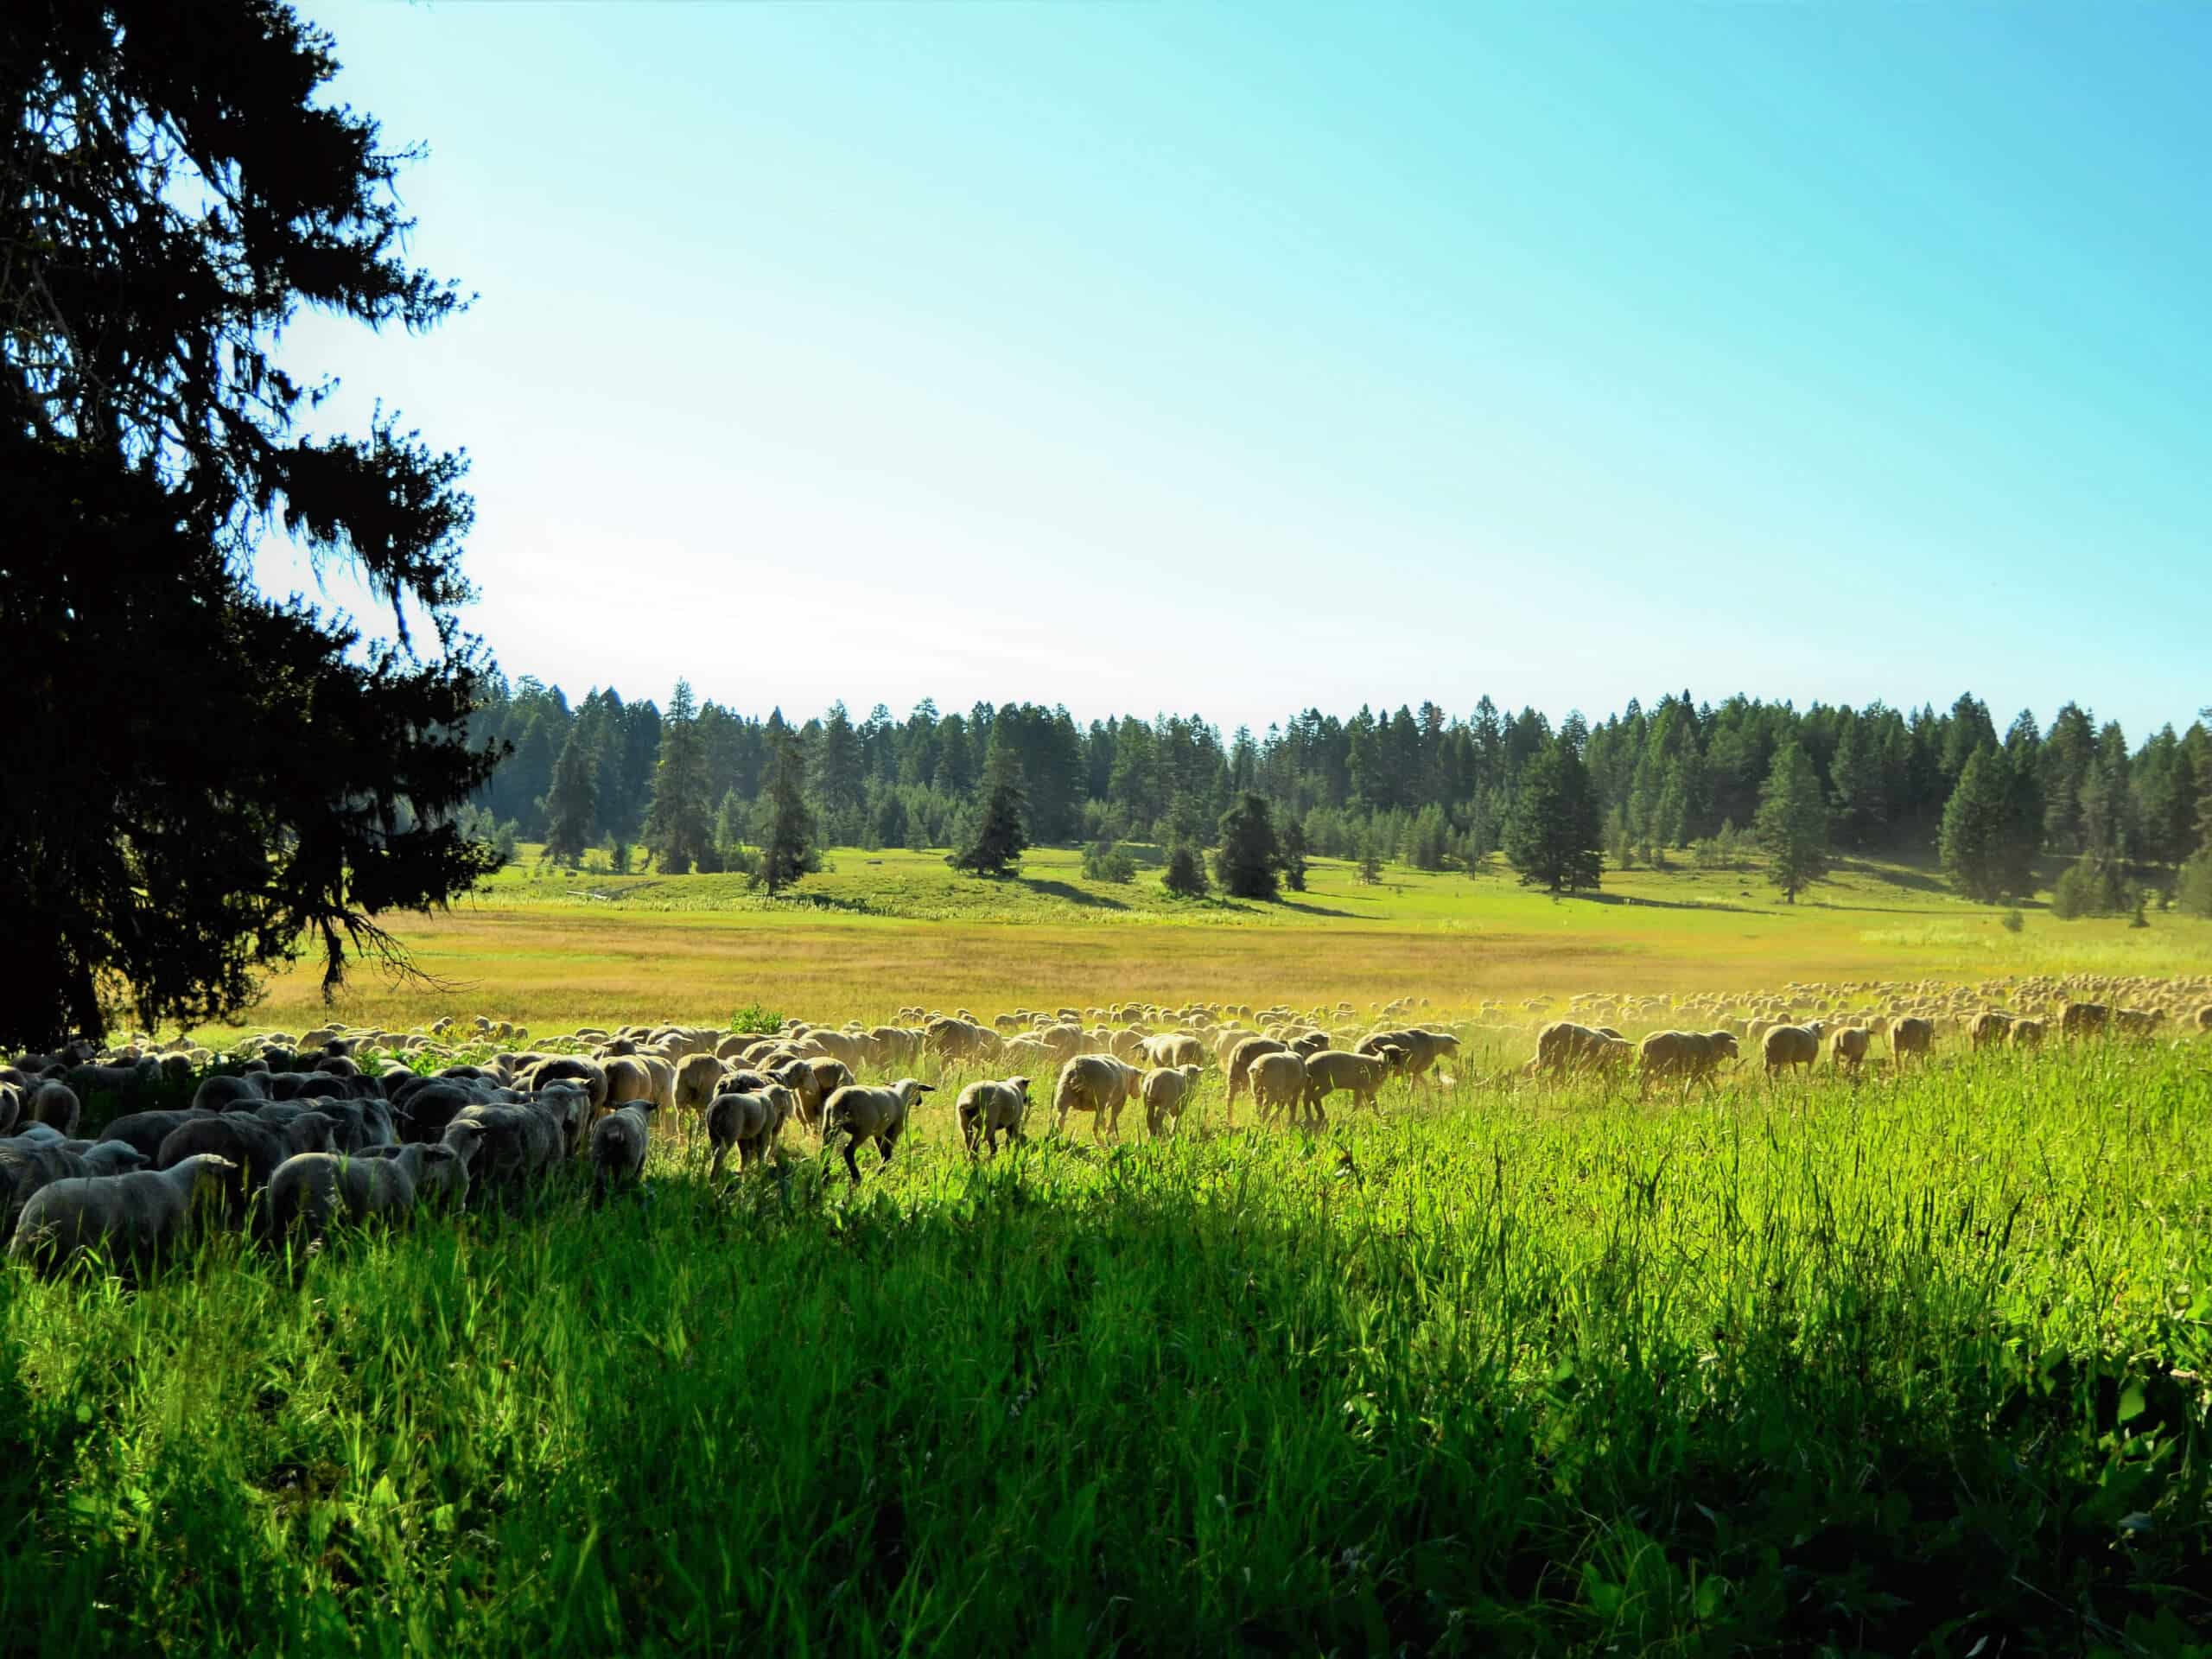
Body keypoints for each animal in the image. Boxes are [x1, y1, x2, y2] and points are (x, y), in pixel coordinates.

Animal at [827, 1084, 938, 1185]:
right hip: (863, 1130)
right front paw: (877, 1174)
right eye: (919, 1091)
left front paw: (879, 1172)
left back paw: (826, 1176)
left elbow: (883, 1153)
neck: (902, 1095)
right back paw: (856, 1178)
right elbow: (887, 1155)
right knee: (848, 1151)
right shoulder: (894, 1129)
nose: (920, 1101)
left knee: (826, 1149)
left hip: (830, 1125)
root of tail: (843, 1098)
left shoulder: (878, 1132)